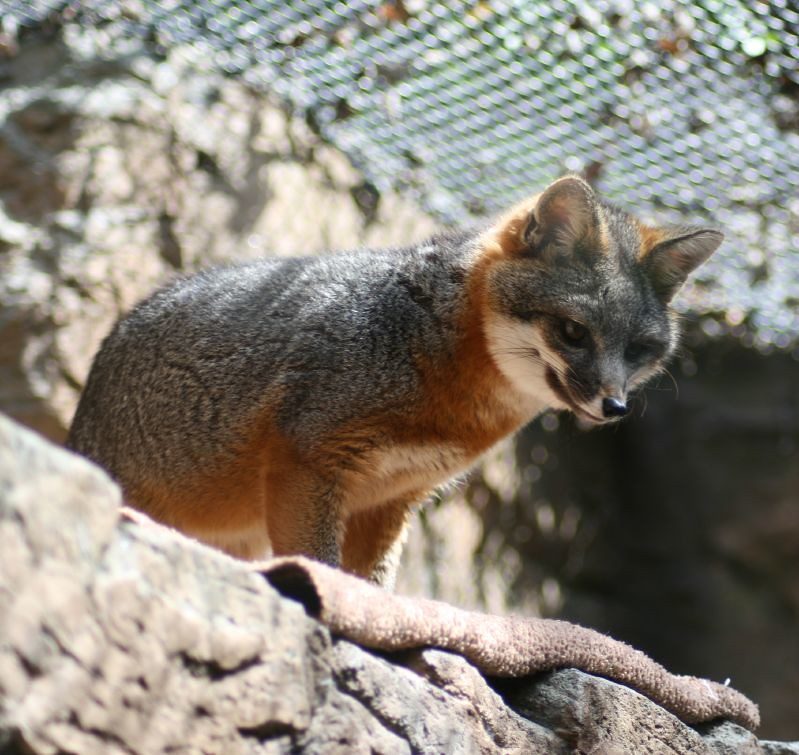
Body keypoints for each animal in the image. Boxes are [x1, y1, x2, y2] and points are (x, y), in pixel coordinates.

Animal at [67, 176, 722, 588]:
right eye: (572, 332)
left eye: (638, 351)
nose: (614, 405)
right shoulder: (308, 465)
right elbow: (322, 569)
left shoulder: (388, 500)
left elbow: (375, 587)